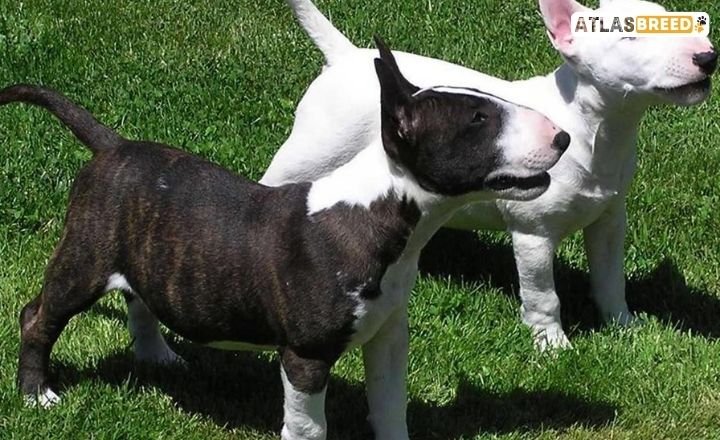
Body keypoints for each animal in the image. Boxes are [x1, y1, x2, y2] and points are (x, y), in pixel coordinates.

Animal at [262, 0, 716, 350]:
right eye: (630, 36)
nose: (708, 57)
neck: (594, 128)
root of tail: (346, 56)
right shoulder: (532, 234)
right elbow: (544, 296)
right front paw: (553, 347)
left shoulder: (609, 219)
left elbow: (610, 279)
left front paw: (625, 327)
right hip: (308, 152)